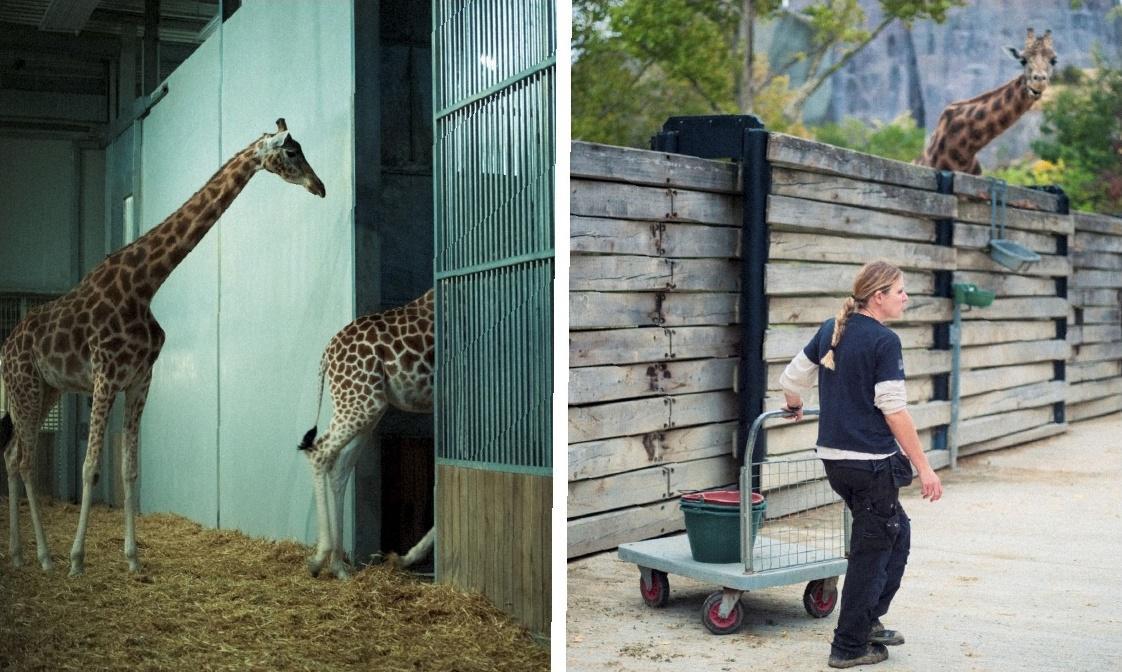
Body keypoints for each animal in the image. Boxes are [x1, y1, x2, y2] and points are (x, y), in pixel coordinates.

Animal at [1, 118, 325, 574]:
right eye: (292, 152)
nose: (320, 186)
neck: (144, 283)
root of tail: (5, 347)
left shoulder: (140, 380)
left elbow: (130, 470)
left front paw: (133, 558)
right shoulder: (105, 376)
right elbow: (89, 467)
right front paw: (78, 559)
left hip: (47, 389)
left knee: (13, 456)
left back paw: (19, 554)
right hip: (25, 387)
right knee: (25, 460)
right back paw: (46, 557)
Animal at [296, 287, 435, 578]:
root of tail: (326, 355)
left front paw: (404, 557)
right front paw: (405, 558)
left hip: (369, 406)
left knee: (339, 465)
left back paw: (339, 567)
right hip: (361, 402)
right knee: (321, 451)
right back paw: (320, 559)